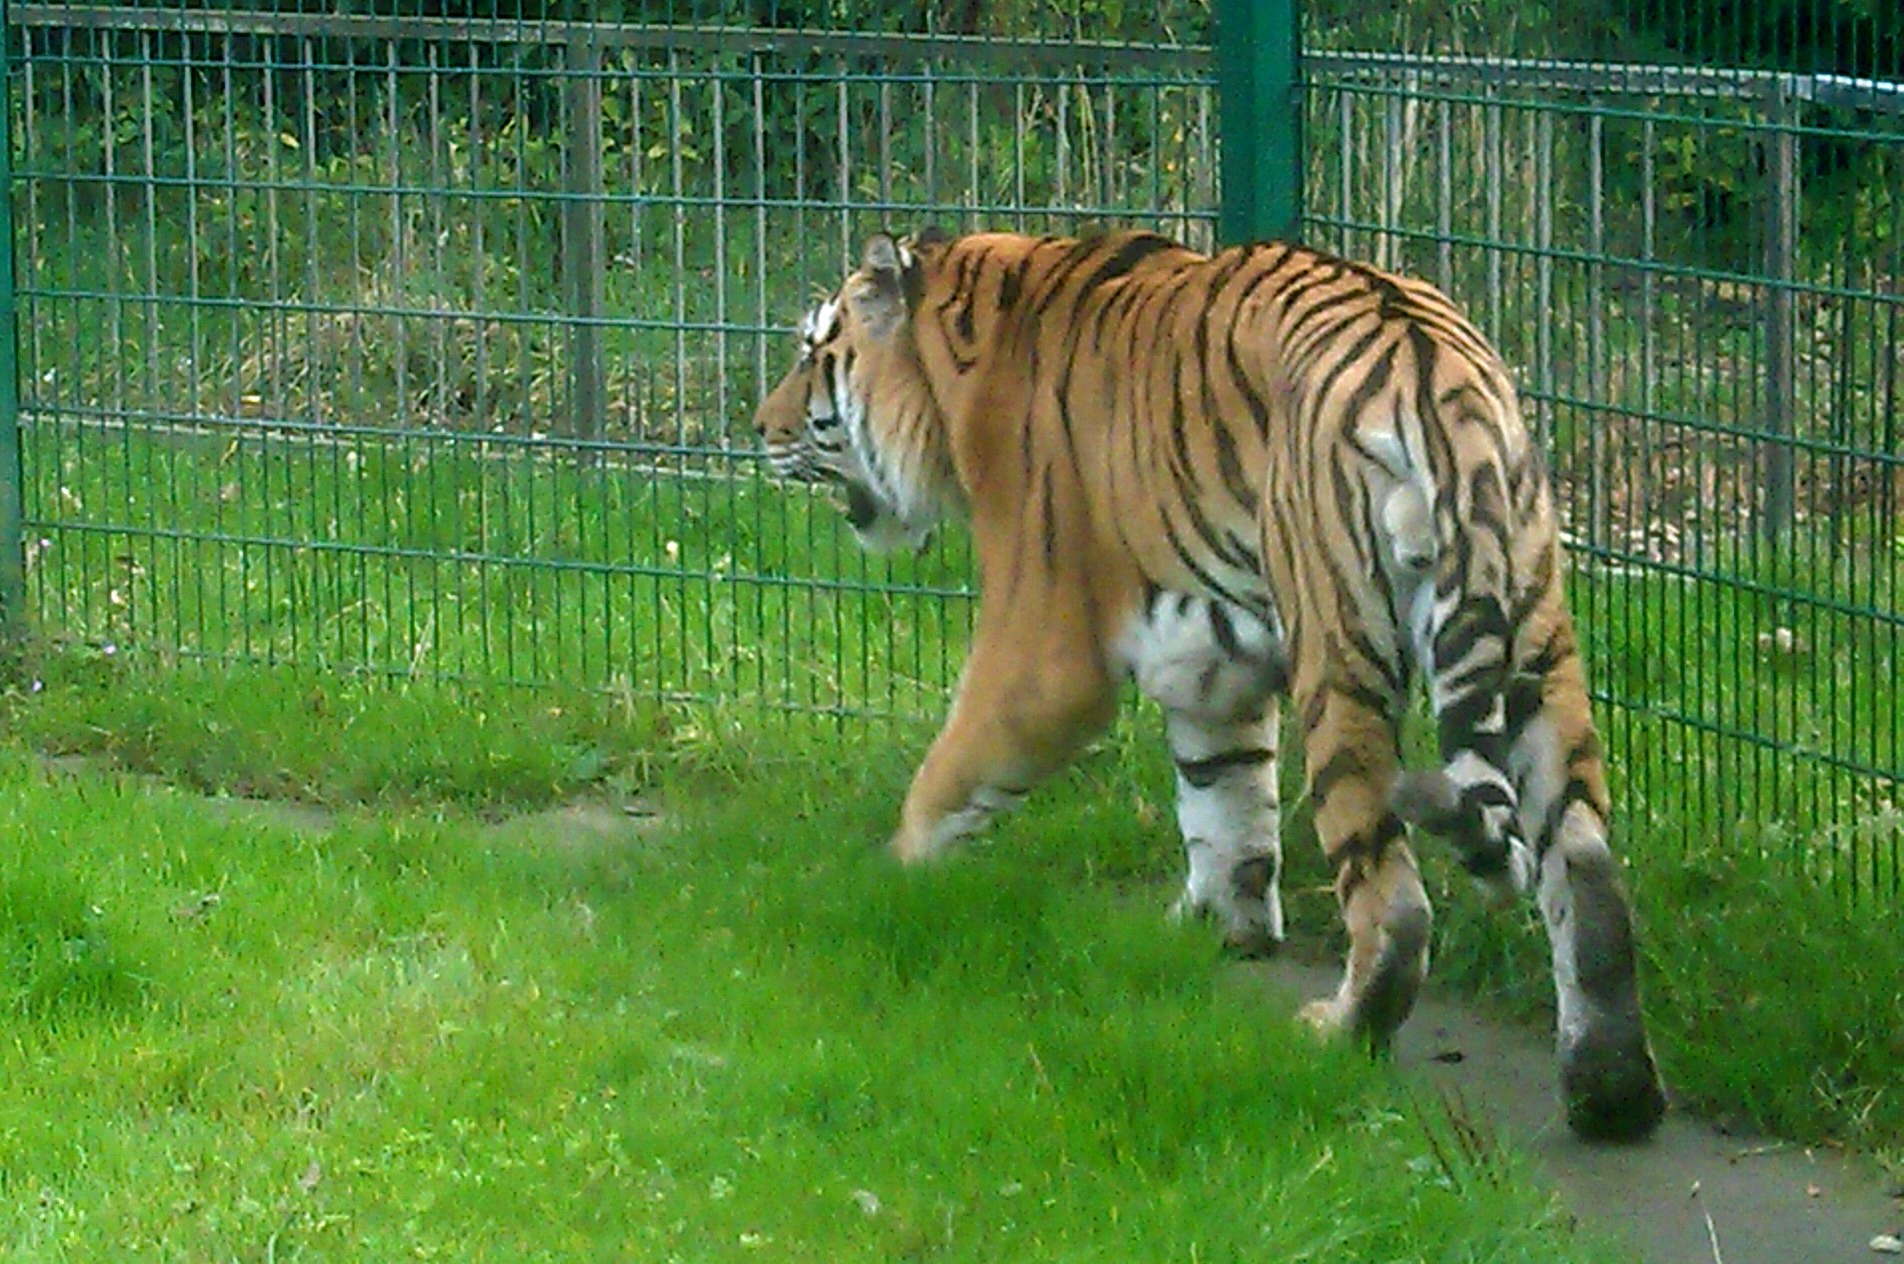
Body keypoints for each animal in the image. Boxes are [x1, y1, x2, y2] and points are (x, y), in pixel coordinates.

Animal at [753, 226, 1667, 1141]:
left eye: (811, 352)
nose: (760, 427)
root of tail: (1434, 368)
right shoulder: (1207, 657)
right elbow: (1223, 803)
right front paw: (1213, 931)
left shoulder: (1041, 645)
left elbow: (947, 777)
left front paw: (891, 881)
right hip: (1538, 641)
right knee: (1583, 866)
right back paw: (1611, 1090)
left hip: (1337, 648)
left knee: (1393, 901)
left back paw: (1339, 1033)